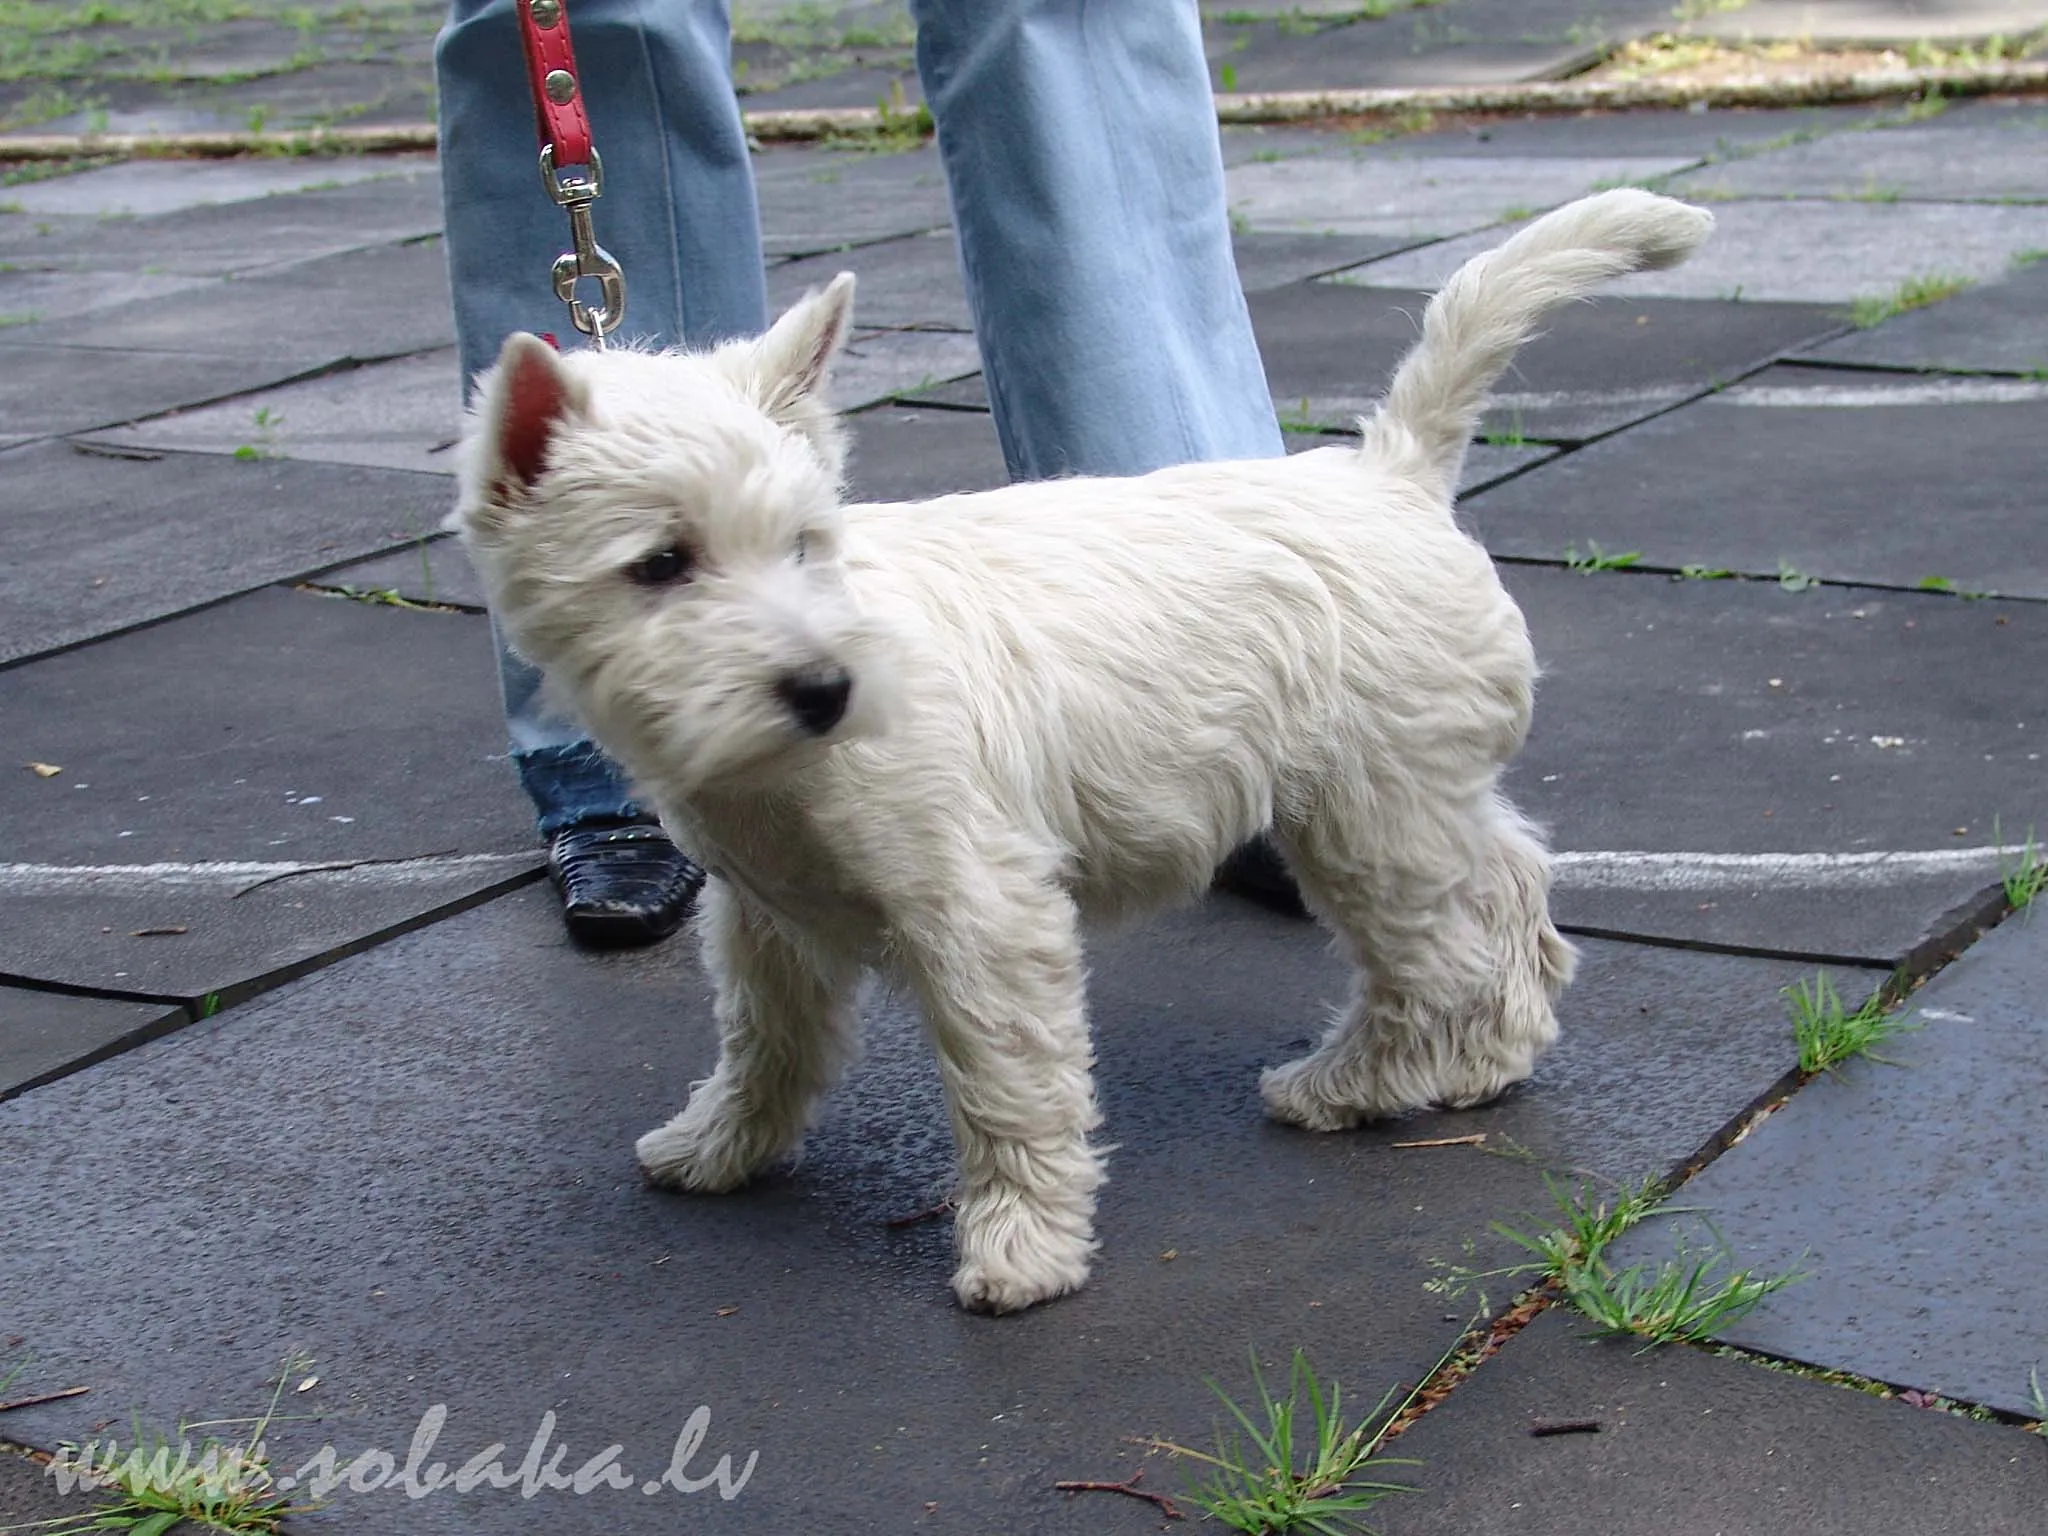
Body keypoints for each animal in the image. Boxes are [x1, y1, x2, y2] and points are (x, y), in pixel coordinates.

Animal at [448, 189, 1712, 1310]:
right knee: (1508, 883)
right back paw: (1494, 1052)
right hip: (1412, 788)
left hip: (1366, 819)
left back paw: (1345, 1085)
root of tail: (1389, 477)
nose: (825, 689)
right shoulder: (765, 919)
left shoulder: (982, 913)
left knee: (1427, 964)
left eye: (805, 543)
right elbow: (764, 1043)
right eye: (659, 564)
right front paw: (719, 1147)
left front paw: (1020, 1249)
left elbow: (1007, 1086)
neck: (782, 773)